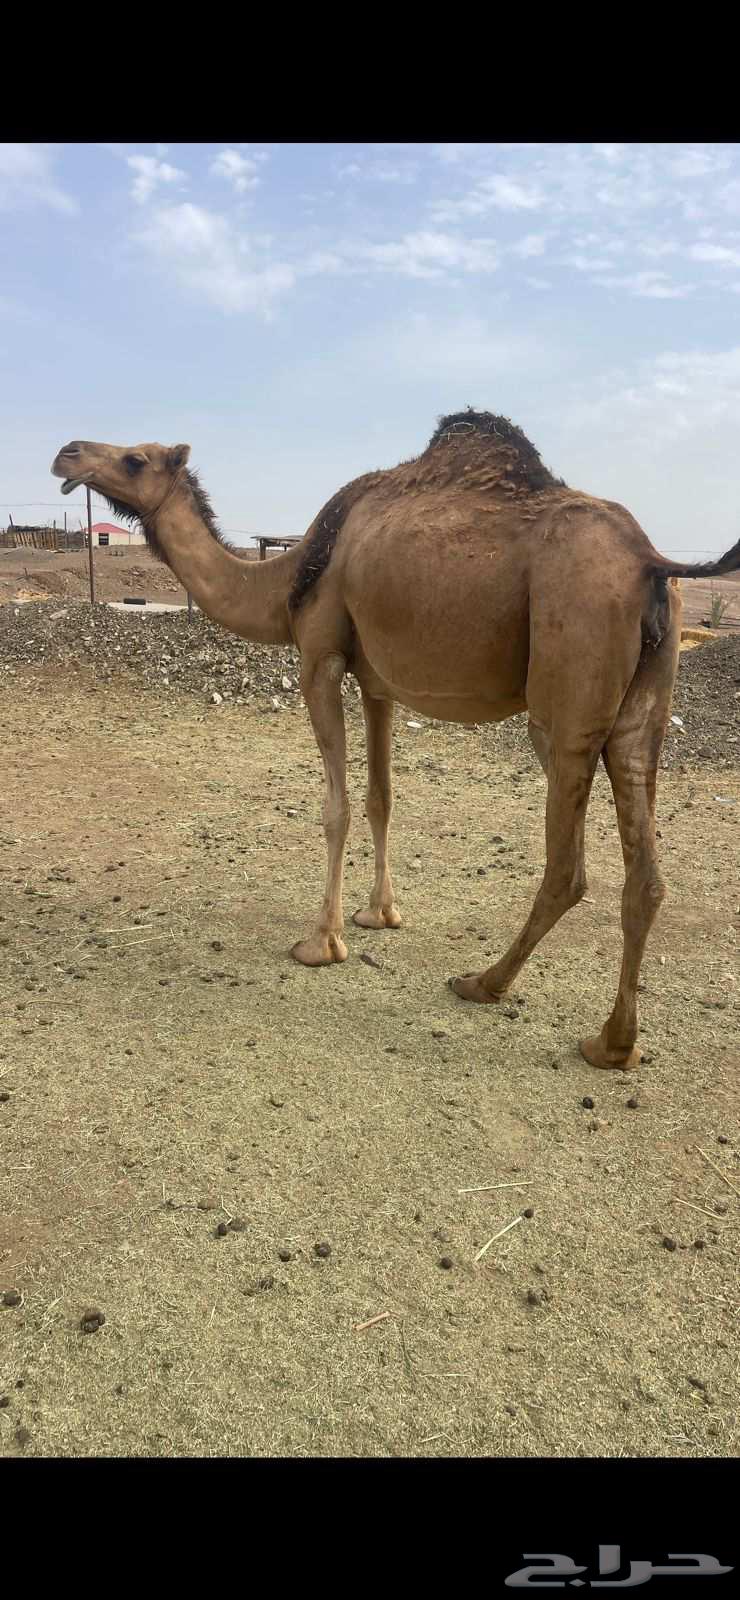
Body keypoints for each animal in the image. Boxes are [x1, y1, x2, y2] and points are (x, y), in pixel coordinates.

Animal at [51, 413, 740, 1070]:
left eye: (135, 458)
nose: (66, 451)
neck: (289, 576)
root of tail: (651, 560)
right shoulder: (376, 682)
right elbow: (381, 798)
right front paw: (379, 913)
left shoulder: (320, 657)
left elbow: (336, 807)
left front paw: (321, 942)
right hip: (644, 705)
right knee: (645, 869)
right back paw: (614, 1044)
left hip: (566, 695)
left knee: (567, 868)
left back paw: (483, 983)